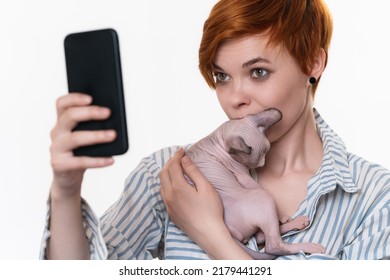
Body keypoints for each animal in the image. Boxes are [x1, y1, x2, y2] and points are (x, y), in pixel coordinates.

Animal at [184, 108, 324, 260]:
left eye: (266, 152)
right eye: (259, 157)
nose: (263, 163)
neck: (216, 139)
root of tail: (229, 231)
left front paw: (281, 218)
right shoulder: (243, 175)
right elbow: (254, 183)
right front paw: (280, 217)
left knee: (261, 237)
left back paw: (296, 223)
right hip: (264, 199)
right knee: (272, 245)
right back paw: (309, 245)